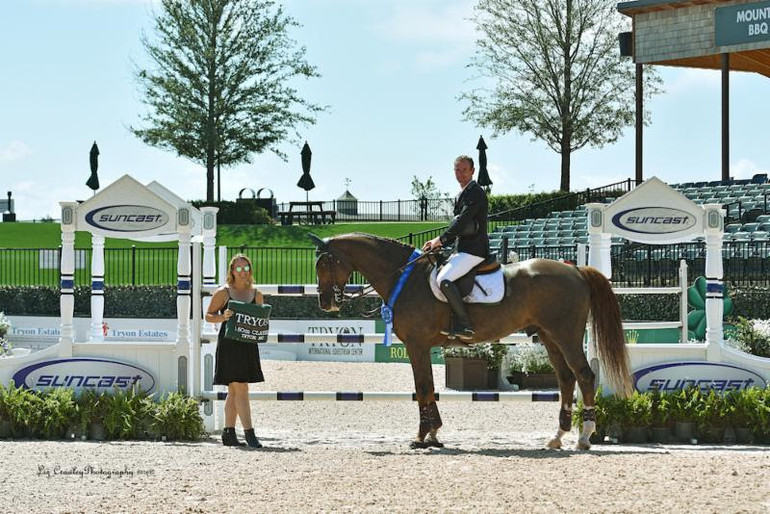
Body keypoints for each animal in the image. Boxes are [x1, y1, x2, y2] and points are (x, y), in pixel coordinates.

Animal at [308, 232, 632, 448]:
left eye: (324, 264)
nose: (326, 303)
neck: (405, 277)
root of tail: (576, 269)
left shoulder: (416, 345)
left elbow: (422, 386)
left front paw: (422, 437)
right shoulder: (421, 346)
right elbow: (428, 387)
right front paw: (434, 434)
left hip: (566, 335)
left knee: (584, 375)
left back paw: (585, 436)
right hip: (549, 337)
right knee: (566, 378)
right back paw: (557, 436)